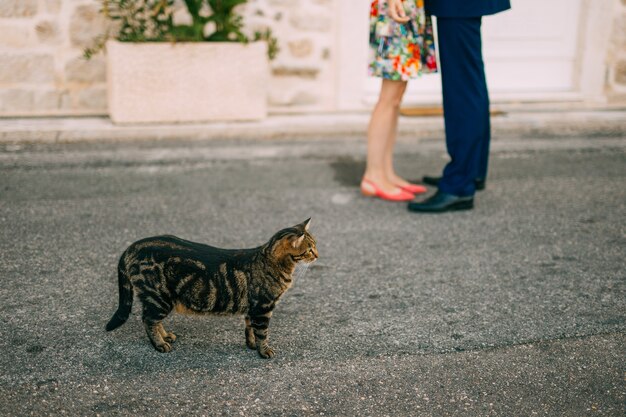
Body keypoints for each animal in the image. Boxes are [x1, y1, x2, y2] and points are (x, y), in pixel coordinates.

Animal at [105, 218, 316, 358]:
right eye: (309, 249)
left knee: (152, 320)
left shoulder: (253, 308)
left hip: (159, 300)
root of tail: (133, 246)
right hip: (159, 298)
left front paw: (251, 344)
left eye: (314, 246)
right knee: (148, 320)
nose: (318, 255)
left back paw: (166, 336)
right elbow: (262, 333)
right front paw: (263, 350)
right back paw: (160, 344)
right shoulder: (263, 307)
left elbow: (249, 328)